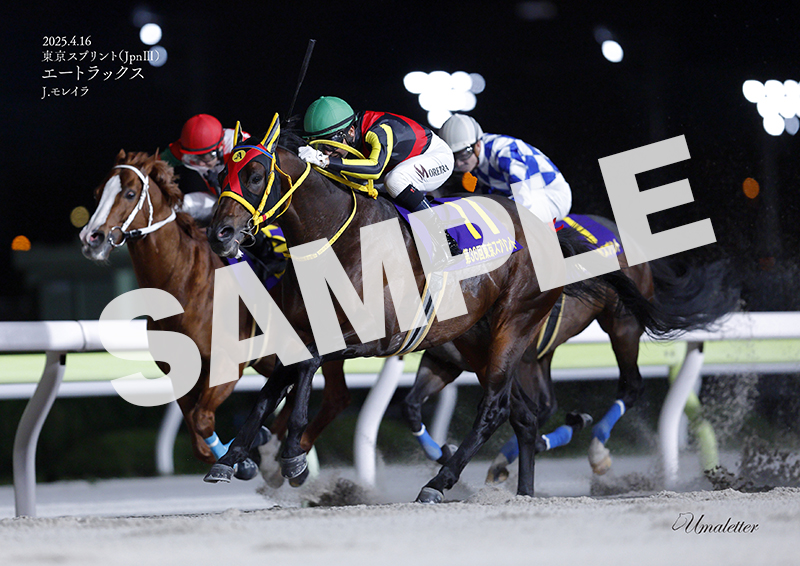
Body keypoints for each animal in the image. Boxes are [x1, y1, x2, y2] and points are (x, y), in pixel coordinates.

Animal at [79, 150, 350, 480]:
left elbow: (202, 418)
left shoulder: (227, 366)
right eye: (97, 193)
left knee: (335, 398)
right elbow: (197, 436)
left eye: (130, 193)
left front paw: (242, 461)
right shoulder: (180, 371)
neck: (184, 286)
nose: (92, 238)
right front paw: (241, 455)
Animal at [203, 117, 682, 503]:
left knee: (497, 407)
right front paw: (235, 457)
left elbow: (306, 367)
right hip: (476, 341)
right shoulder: (301, 329)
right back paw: (522, 491)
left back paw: (441, 481)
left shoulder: (371, 335)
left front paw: (290, 457)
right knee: (523, 414)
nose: (219, 233)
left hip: (532, 325)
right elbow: (277, 383)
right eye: (223, 172)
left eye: (255, 174)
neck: (337, 238)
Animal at [401, 214, 739, 481]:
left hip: (622, 324)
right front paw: (444, 452)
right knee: (548, 403)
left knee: (630, 385)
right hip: (543, 355)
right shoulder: (445, 361)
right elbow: (412, 405)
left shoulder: (502, 360)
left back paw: (595, 450)